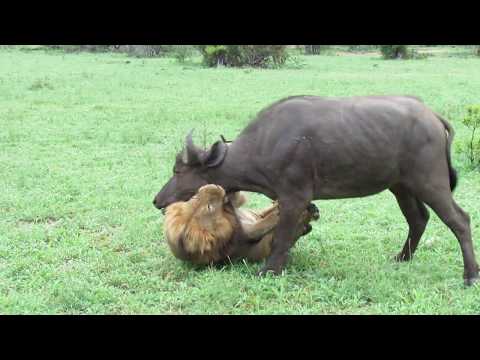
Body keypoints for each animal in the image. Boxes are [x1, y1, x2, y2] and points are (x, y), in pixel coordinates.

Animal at [164, 186, 318, 264]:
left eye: (195, 197)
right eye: (209, 207)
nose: (213, 186)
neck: (228, 214)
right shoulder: (245, 234)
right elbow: (264, 225)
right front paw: (279, 214)